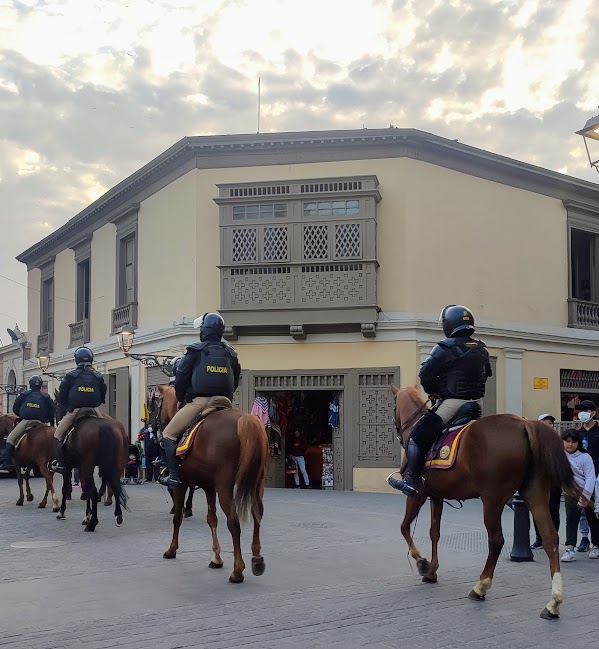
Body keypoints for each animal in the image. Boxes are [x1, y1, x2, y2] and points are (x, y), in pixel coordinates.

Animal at [54, 392, 129, 528]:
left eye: (56, 405)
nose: (57, 421)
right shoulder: (83, 467)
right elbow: (86, 488)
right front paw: (86, 515)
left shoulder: (69, 467)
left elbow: (66, 487)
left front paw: (62, 512)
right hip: (113, 464)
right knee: (114, 485)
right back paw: (117, 515)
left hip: (89, 466)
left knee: (94, 490)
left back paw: (93, 523)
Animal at [163, 410, 268, 584]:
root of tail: (246, 419)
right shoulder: (209, 487)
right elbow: (212, 519)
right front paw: (216, 558)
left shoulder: (180, 484)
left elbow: (177, 517)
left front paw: (171, 549)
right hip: (257, 483)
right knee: (257, 513)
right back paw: (257, 559)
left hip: (225, 487)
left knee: (234, 522)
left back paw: (237, 571)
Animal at [394, 384, 580, 616]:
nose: (397, 430)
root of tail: (525, 423)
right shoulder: (436, 496)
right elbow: (434, 532)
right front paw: (432, 570)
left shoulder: (417, 493)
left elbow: (404, 527)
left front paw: (422, 563)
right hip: (535, 495)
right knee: (550, 538)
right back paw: (553, 602)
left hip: (492, 500)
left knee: (496, 540)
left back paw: (481, 586)